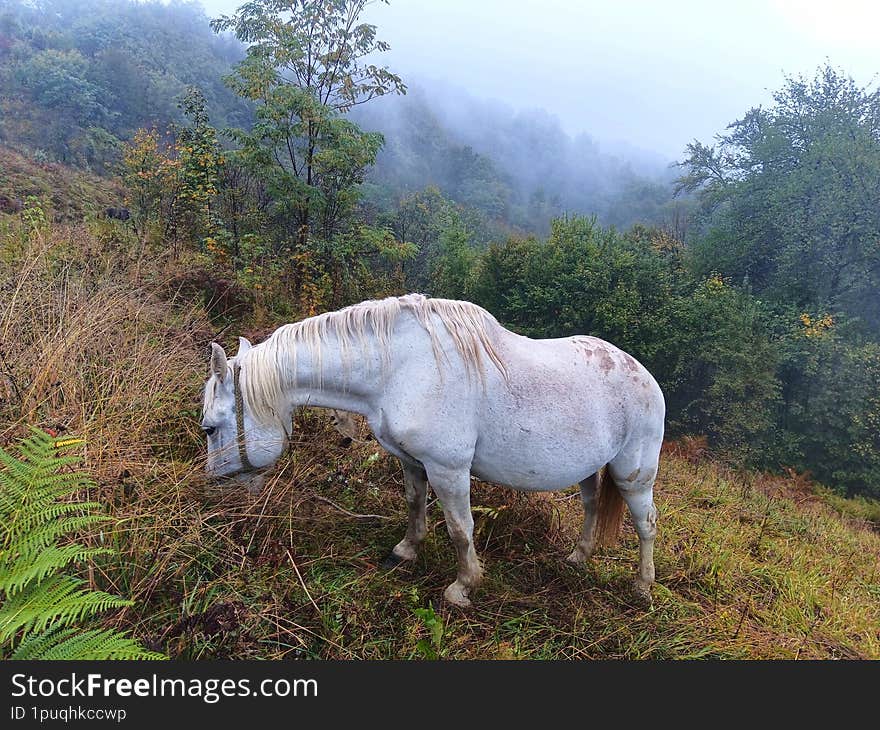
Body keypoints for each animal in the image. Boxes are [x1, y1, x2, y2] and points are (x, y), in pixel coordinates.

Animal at [201, 290, 668, 604]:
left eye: (209, 428)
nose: (218, 504)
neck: (401, 368)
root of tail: (647, 377)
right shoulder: (412, 461)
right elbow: (414, 504)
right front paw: (406, 550)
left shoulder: (448, 469)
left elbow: (460, 528)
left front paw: (463, 587)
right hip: (590, 470)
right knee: (591, 507)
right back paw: (577, 558)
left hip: (634, 475)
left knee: (646, 525)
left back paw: (643, 587)